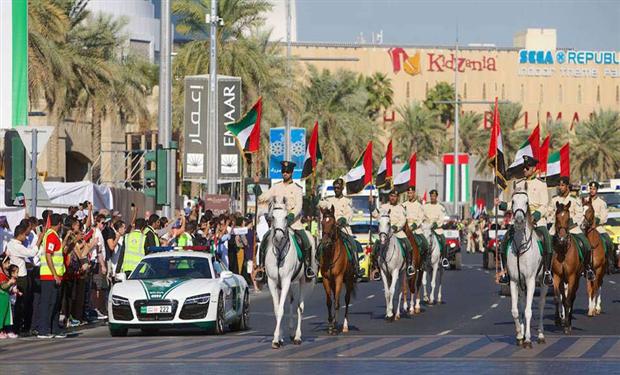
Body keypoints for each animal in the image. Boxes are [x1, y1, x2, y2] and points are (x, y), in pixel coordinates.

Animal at [266, 197, 314, 350]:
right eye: (272, 217)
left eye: (286, 217)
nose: (279, 236)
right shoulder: (272, 281)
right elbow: (277, 310)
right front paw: (278, 338)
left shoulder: (286, 279)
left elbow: (282, 309)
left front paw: (276, 339)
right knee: (292, 300)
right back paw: (291, 333)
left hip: (303, 280)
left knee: (300, 306)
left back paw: (297, 336)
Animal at [506, 188, 548, 350]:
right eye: (512, 201)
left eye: (526, 202)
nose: (518, 220)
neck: (520, 247)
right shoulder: (514, 281)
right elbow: (516, 310)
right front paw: (520, 335)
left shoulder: (530, 281)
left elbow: (529, 311)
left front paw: (528, 339)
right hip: (521, 284)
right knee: (522, 304)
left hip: (544, 282)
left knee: (541, 306)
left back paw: (541, 335)